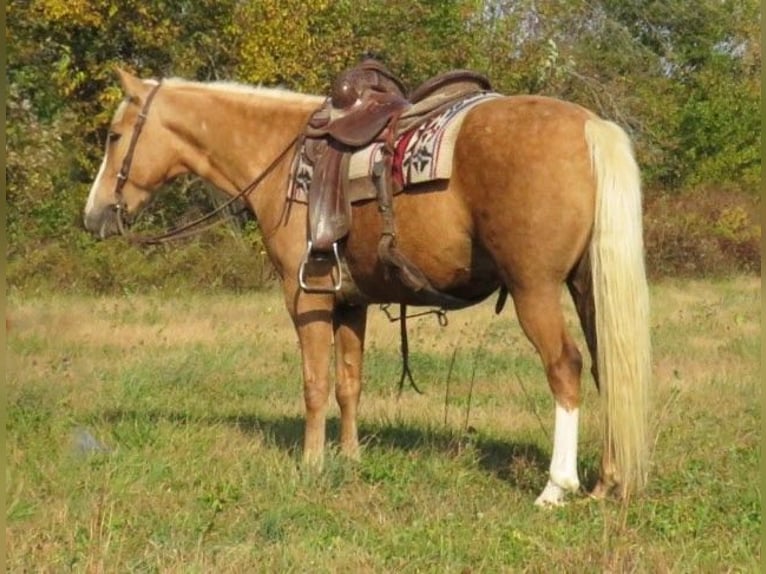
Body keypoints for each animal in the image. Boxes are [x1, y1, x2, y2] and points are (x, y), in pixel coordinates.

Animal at [81, 68, 652, 508]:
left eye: (114, 136)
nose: (93, 216)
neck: (282, 159)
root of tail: (589, 125)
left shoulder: (306, 298)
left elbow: (314, 384)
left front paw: (311, 464)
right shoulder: (351, 301)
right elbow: (348, 384)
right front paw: (350, 457)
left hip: (535, 289)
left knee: (566, 367)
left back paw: (557, 488)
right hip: (587, 287)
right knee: (607, 365)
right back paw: (606, 483)